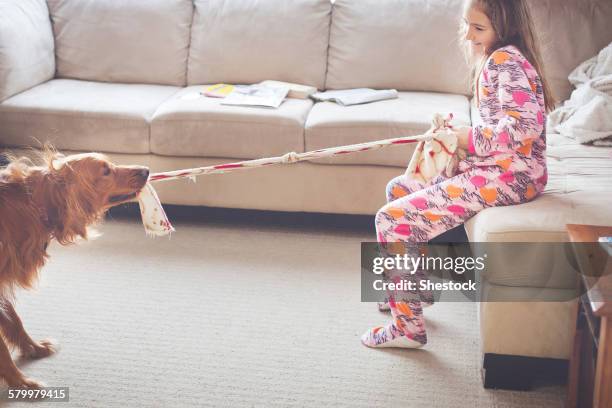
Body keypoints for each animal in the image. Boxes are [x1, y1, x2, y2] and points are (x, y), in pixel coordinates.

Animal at [0, 151, 148, 388]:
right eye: (105, 171)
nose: (147, 170)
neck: (31, 204)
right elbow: (3, 349)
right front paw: (22, 383)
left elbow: (15, 321)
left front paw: (33, 349)